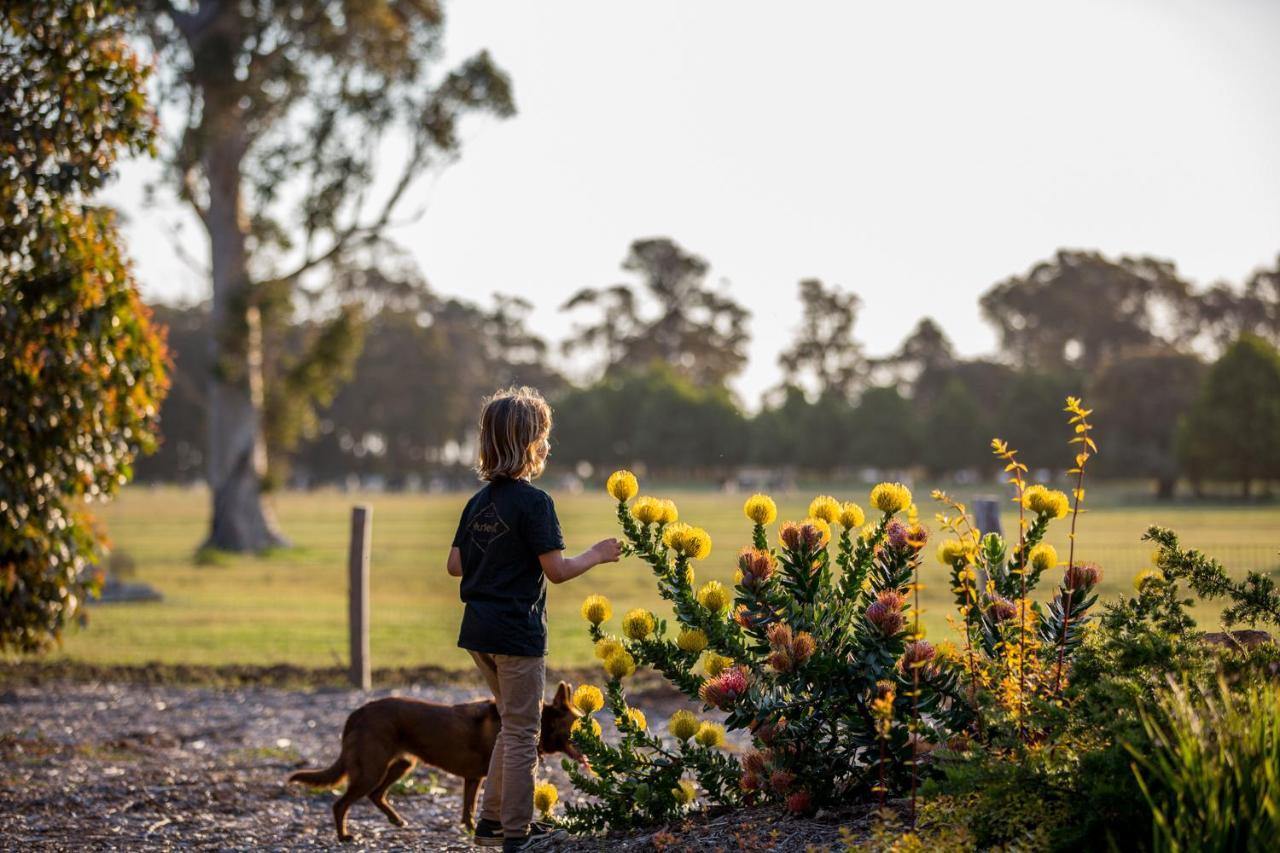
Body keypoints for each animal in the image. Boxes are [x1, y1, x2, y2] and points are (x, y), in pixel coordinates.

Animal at [288, 676, 583, 835]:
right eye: (579, 725)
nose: (592, 745)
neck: (541, 722)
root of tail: (358, 713)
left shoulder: (473, 778)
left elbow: (468, 809)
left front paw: (471, 830)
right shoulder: (487, 775)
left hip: (401, 764)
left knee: (376, 795)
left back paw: (396, 820)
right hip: (371, 769)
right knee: (341, 804)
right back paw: (345, 836)